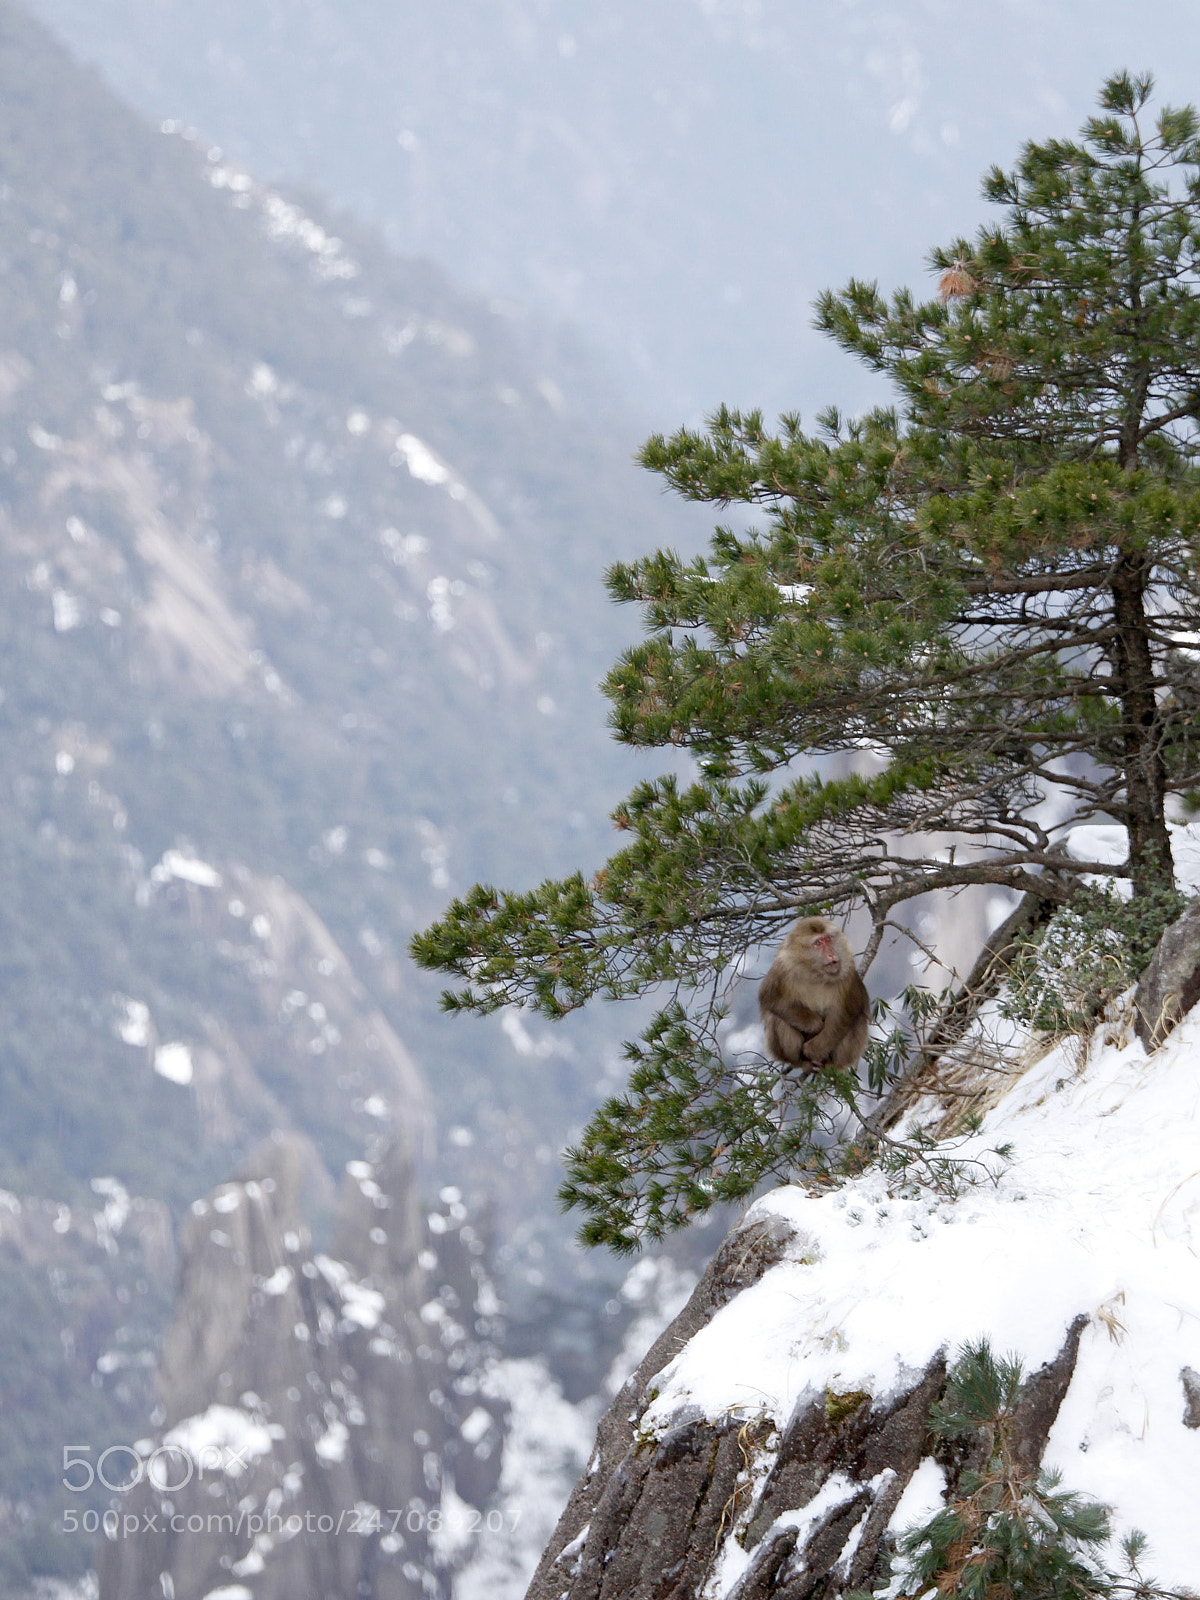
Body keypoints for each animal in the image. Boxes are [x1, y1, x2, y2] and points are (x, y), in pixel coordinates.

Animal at [758, 916, 869, 1074]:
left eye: (828, 939)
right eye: (818, 943)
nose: (831, 953)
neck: (816, 973)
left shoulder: (847, 971)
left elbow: (845, 1014)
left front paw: (814, 1049)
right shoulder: (782, 966)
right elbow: (770, 997)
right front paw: (813, 1024)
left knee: (858, 1021)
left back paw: (828, 1063)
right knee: (776, 1018)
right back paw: (801, 1062)